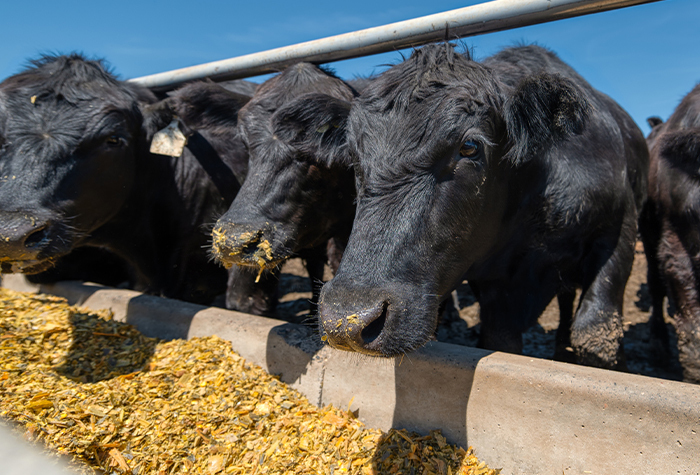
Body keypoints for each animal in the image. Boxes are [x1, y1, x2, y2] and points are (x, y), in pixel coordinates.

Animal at [316, 43, 644, 372]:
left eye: (470, 146)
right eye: (353, 155)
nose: (346, 319)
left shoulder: (619, 227)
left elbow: (596, 334)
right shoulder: (495, 288)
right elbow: (502, 341)